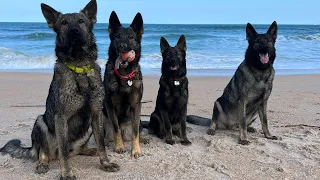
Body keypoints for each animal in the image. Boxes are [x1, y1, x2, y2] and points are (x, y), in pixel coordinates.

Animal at [0, 0, 119, 179]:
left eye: (81, 21)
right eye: (63, 23)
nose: (74, 31)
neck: (79, 67)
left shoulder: (96, 114)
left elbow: (102, 145)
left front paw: (105, 163)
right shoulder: (61, 118)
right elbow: (63, 151)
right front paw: (67, 173)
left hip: (87, 129)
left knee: (76, 150)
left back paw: (89, 150)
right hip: (40, 123)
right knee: (45, 153)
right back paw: (42, 163)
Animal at [104, 10, 145, 158]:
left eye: (131, 37)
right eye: (117, 37)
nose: (122, 46)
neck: (124, 75)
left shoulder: (136, 105)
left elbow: (135, 131)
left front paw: (136, 150)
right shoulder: (109, 104)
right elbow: (115, 127)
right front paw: (119, 146)